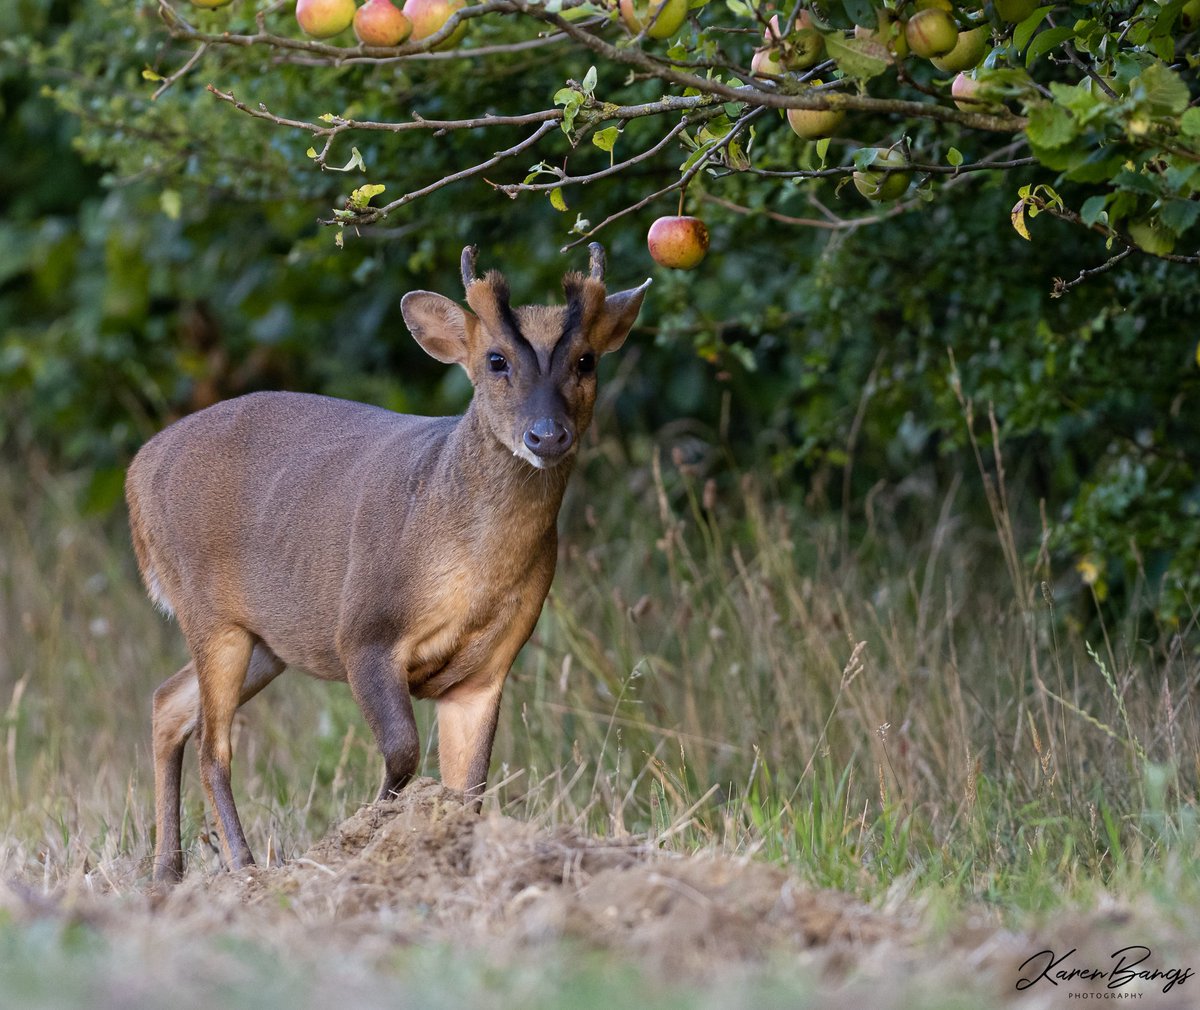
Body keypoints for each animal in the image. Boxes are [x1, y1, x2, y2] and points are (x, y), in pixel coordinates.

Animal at [127, 239, 652, 878]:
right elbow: (403, 752)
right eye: (496, 360)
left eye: (586, 361)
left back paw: (167, 872)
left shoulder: (487, 667)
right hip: (209, 609)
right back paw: (245, 867)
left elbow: (469, 787)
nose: (547, 436)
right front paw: (364, 839)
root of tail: (136, 473)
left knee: (167, 703)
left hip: (268, 638)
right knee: (212, 744)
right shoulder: (364, 630)